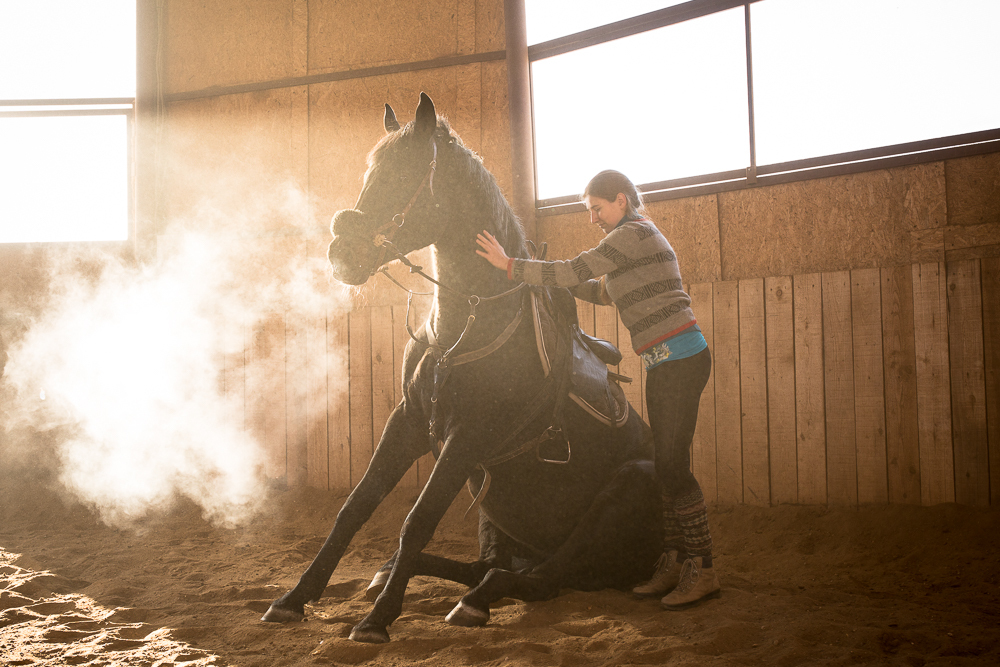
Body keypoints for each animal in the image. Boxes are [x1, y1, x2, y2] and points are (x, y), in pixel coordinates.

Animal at [262, 91, 660, 644]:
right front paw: (294, 598)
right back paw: (399, 576)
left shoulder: (469, 435)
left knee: (538, 579)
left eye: (405, 173)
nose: (343, 252)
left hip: (622, 492)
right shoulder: (408, 421)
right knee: (492, 568)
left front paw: (376, 621)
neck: (463, 327)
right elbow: (355, 507)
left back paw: (474, 601)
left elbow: (418, 518)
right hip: (493, 513)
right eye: (370, 171)